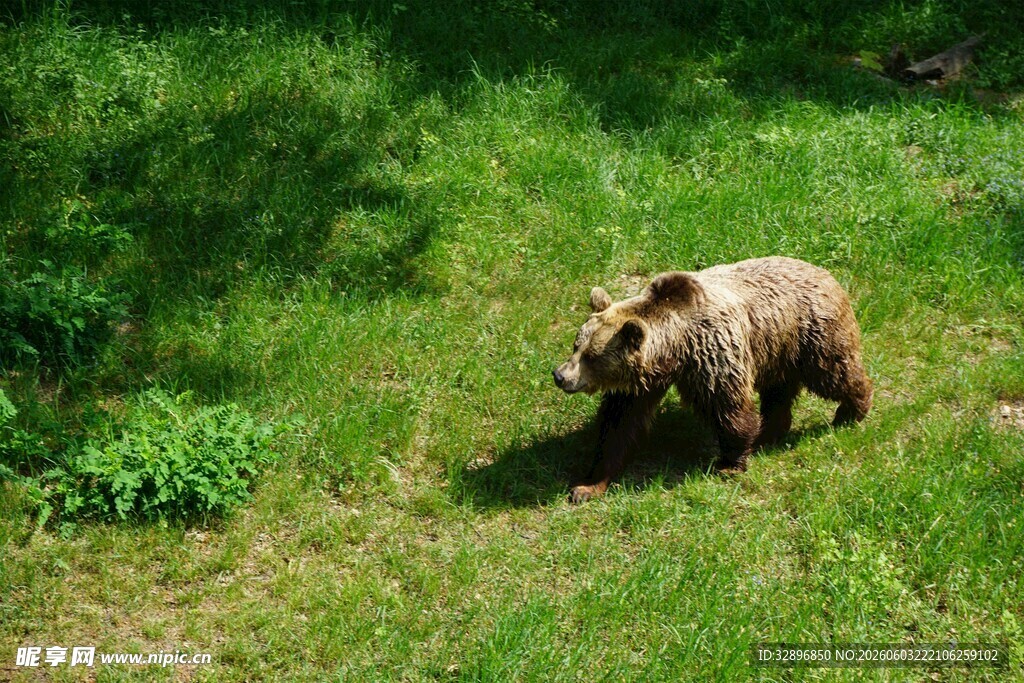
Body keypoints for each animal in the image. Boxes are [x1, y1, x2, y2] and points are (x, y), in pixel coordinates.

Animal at [553, 256, 872, 503]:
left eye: (591, 356)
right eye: (576, 345)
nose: (560, 376)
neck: (675, 350)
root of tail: (826, 273)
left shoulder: (712, 353)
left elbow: (728, 408)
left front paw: (730, 463)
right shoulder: (640, 384)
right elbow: (619, 425)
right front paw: (587, 485)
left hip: (813, 333)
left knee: (834, 374)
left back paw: (852, 411)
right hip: (779, 350)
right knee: (778, 392)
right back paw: (770, 432)